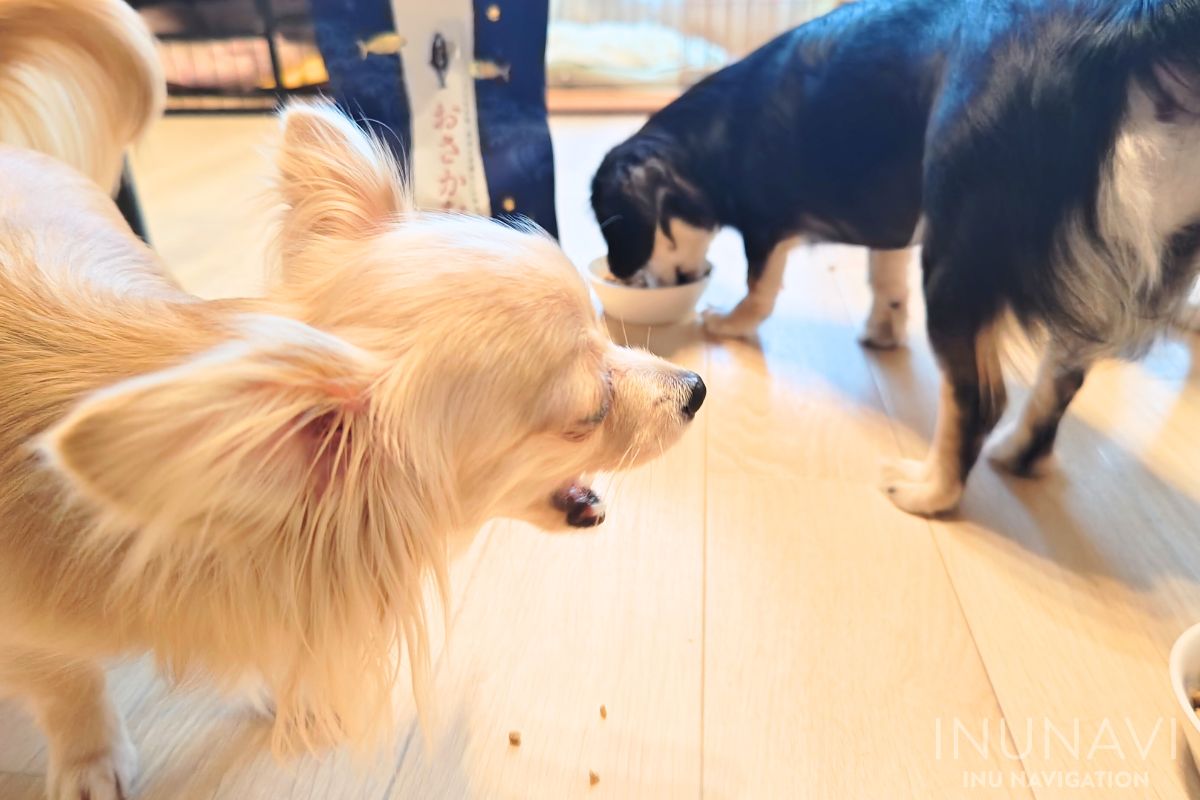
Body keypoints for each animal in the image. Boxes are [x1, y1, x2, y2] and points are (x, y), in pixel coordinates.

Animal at [590, 0, 1200, 520]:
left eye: (615, 229)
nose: (619, 274)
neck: (717, 132)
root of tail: (1124, 36)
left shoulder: (767, 227)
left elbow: (759, 289)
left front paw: (729, 324)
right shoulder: (892, 225)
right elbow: (885, 279)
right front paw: (882, 331)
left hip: (955, 260)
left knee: (979, 400)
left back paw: (928, 492)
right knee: (1062, 378)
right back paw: (1020, 456)